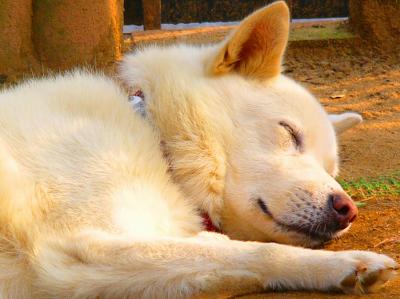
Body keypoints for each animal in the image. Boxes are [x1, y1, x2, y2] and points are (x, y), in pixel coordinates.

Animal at [0, 1, 396, 298]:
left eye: (331, 171)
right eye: (289, 132)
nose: (347, 210)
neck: (159, 140)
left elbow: (225, 255)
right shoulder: (80, 248)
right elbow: (258, 250)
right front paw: (348, 262)